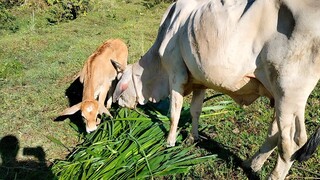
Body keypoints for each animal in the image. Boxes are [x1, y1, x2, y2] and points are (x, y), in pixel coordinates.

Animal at [113, 0, 320, 179]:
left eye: (118, 83)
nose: (115, 107)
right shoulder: (200, 81)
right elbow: (195, 111)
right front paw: (193, 137)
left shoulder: (176, 74)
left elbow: (175, 113)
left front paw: (170, 142)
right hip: (279, 97)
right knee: (274, 134)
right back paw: (251, 164)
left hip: (289, 93)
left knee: (291, 143)